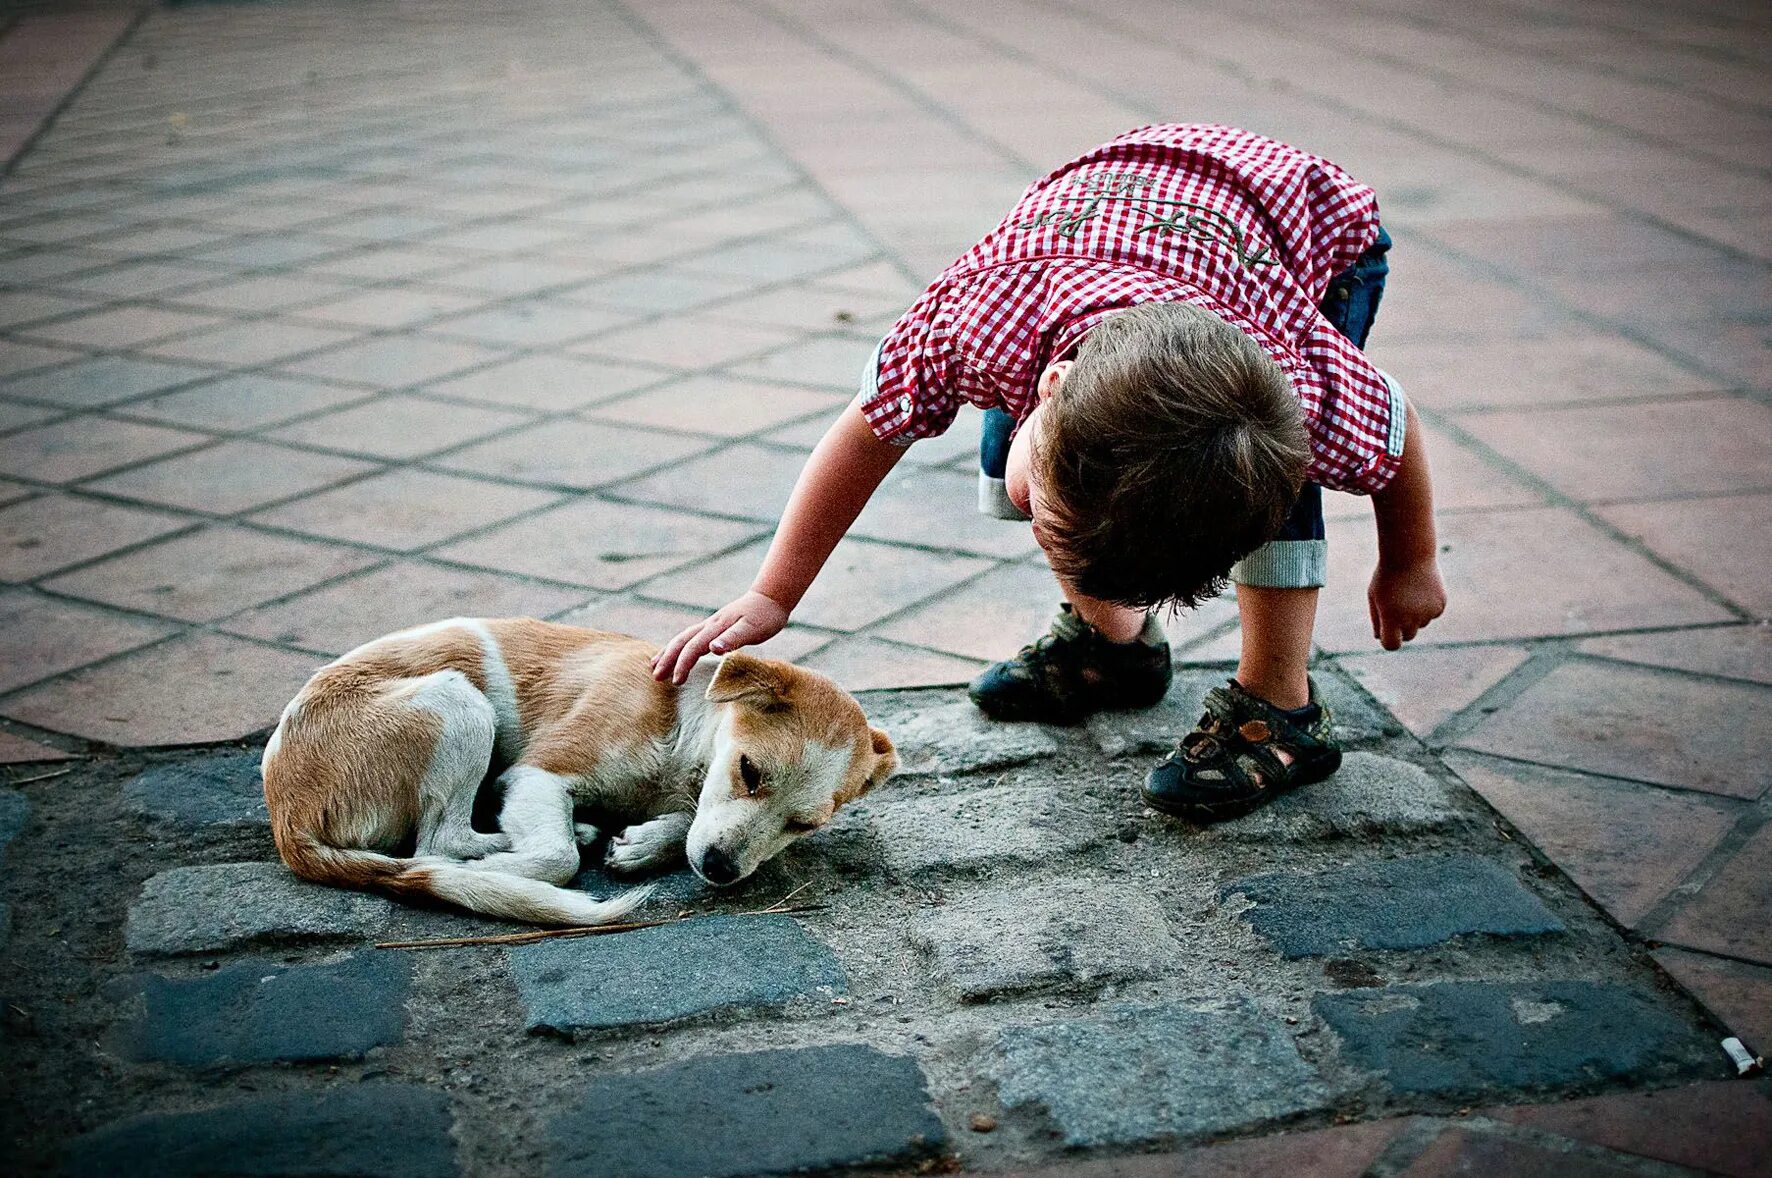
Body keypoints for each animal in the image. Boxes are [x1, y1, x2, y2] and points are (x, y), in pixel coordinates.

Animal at [258, 616, 900, 928]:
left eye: (803, 825)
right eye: (749, 770)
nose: (720, 871)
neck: (681, 726)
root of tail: (287, 818)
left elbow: (683, 823)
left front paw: (644, 844)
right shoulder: (538, 773)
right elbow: (558, 859)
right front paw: (503, 870)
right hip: (458, 702)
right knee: (435, 846)